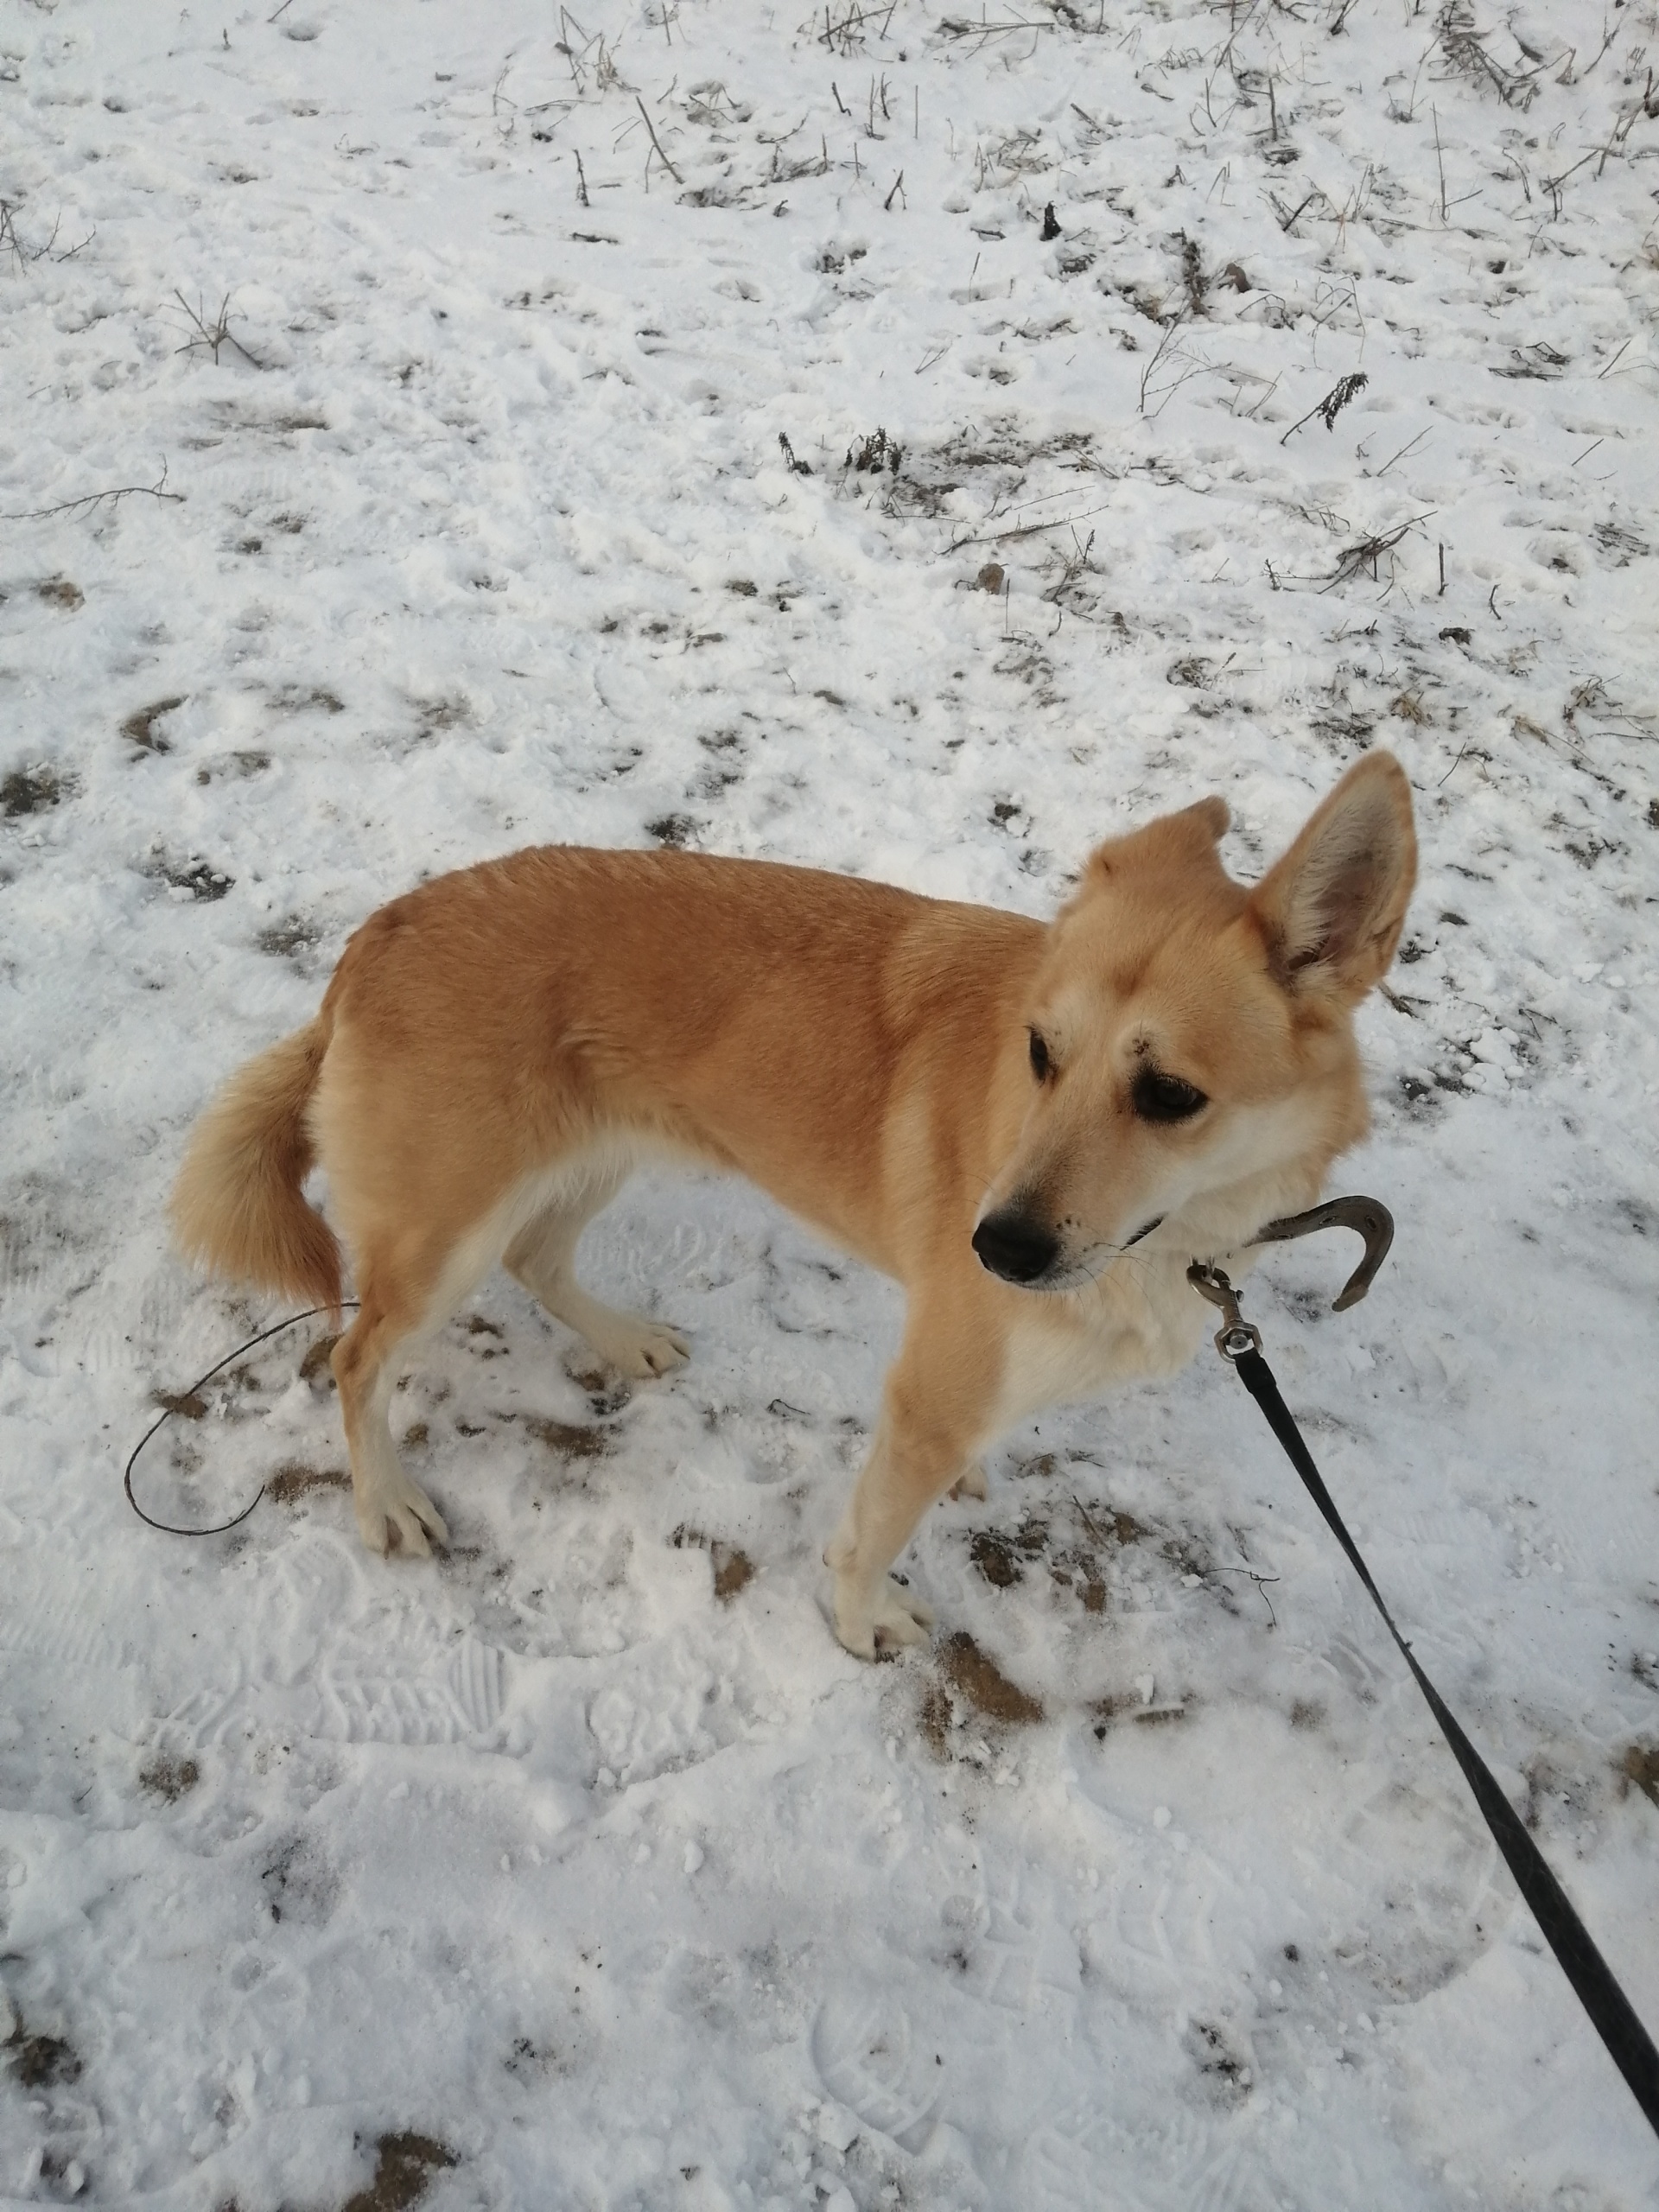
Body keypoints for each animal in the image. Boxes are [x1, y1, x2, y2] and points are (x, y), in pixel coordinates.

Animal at [172, 752, 1415, 1654]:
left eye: (1170, 1095)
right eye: (1041, 1052)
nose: (994, 1248)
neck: (1169, 1237)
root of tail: (377, 936)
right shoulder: (926, 1398)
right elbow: (868, 1537)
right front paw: (863, 1625)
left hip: (594, 1156)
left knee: (540, 1261)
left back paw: (621, 1341)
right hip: (445, 1233)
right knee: (356, 1357)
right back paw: (385, 1500)